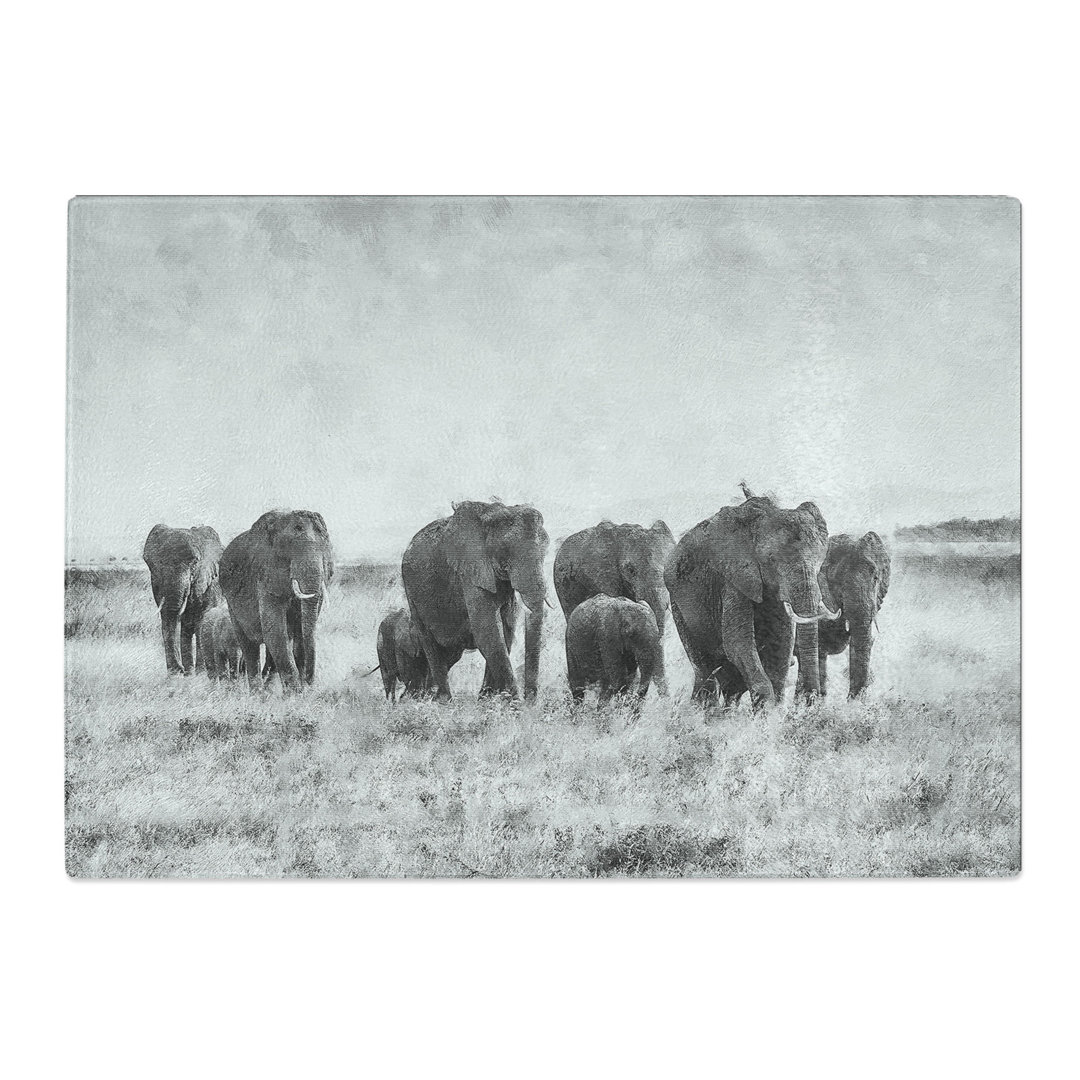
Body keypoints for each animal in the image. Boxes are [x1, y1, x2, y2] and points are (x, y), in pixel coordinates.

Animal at [142, 524, 224, 675]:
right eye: (151, 564)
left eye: (195, 562)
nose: (180, 669)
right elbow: (168, 619)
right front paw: (182, 673)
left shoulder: (213, 585)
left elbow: (202, 621)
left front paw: (200, 673)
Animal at [219, 510, 334, 690]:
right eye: (291, 549)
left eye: (326, 551)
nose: (309, 684)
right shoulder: (265, 574)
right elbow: (276, 631)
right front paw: (295, 694)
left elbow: (299, 632)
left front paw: (301, 692)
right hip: (231, 604)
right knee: (248, 646)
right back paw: (258, 692)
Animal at [401, 500, 549, 702]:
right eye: (505, 553)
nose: (530, 702)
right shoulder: (470, 571)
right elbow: (488, 631)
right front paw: (513, 703)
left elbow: (505, 630)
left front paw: (488, 700)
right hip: (412, 593)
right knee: (429, 642)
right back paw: (443, 701)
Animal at [665, 493, 838, 709]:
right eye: (771, 560)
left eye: (820, 562)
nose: (811, 698)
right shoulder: (733, 577)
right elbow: (738, 644)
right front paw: (765, 708)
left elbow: (782, 644)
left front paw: (772, 711)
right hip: (677, 604)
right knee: (704, 668)